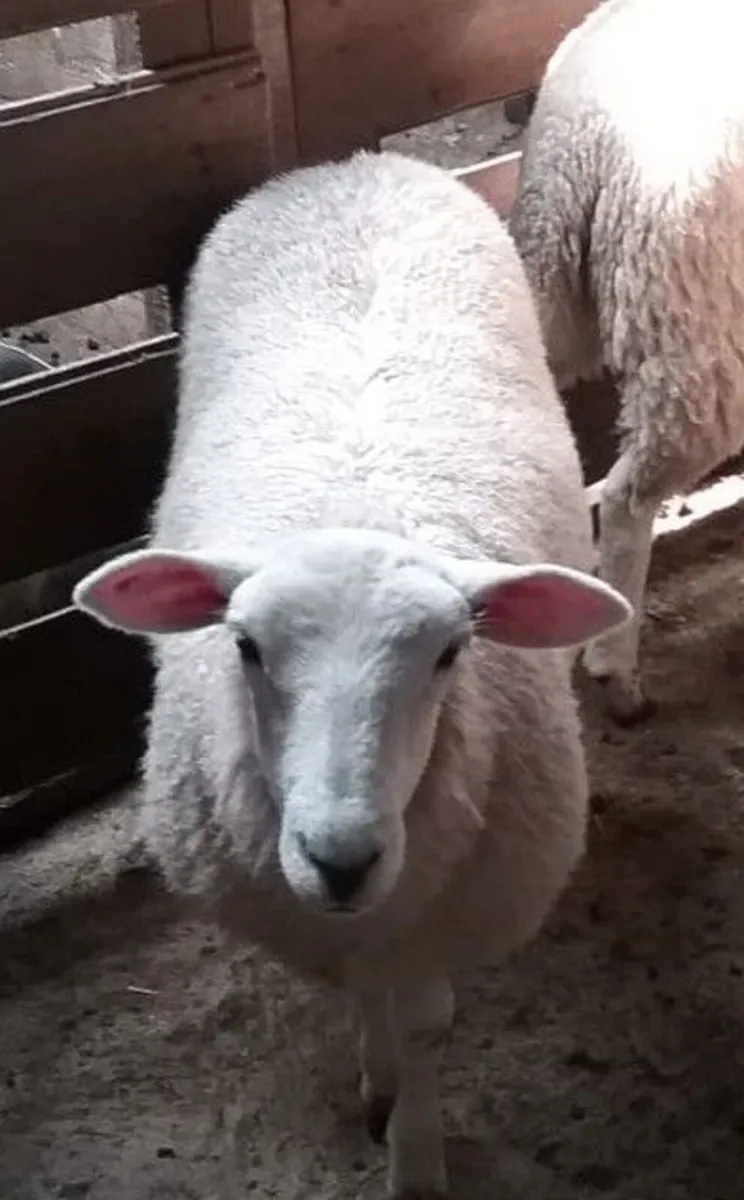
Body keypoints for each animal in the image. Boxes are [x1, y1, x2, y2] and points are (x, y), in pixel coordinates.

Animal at [72, 148, 630, 1198]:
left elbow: (426, 1024)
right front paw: (376, 1083)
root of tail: (352, 162)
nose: (341, 856)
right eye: (244, 647)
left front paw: (415, 1156)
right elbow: (363, 996)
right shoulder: (318, 918)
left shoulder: (434, 916)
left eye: (451, 651)